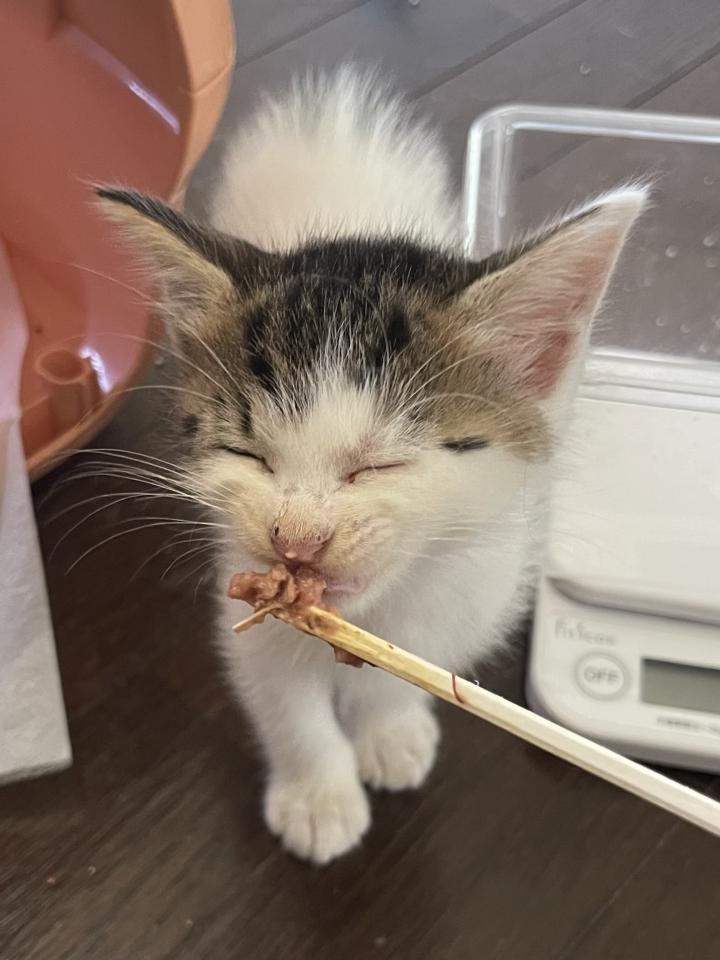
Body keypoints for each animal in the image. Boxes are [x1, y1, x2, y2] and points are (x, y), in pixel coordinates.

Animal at [98, 67, 646, 865]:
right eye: (247, 452)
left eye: (380, 465)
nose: (297, 542)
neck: (376, 610)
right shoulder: (244, 588)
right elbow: (280, 694)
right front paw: (319, 797)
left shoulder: (465, 599)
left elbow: (404, 677)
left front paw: (389, 734)